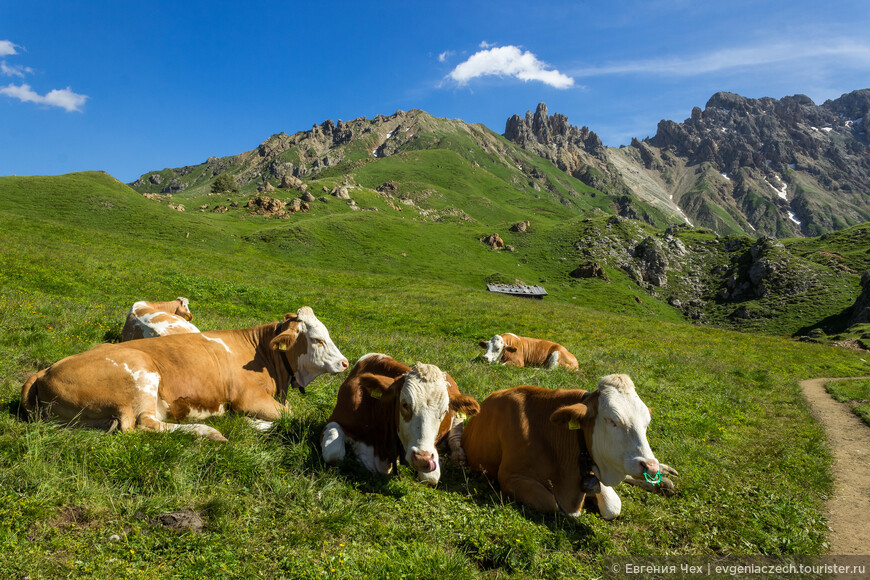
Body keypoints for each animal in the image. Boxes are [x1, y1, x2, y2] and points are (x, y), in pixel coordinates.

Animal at [21, 308, 348, 440]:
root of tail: (45, 369)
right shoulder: (249, 398)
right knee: (143, 425)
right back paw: (209, 431)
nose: (345, 363)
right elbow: (291, 417)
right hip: (141, 376)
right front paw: (249, 424)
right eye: (317, 339)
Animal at [322, 354, 480, 484]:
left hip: (458, 420)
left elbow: (431, 477)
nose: (422, 458)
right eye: (405, 404)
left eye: (445, 411)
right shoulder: (336, 419)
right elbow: (333, 452)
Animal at [460, 376, 676, 520]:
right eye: (612, 420)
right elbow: (552, 504)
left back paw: (664, 476)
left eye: (646, 423)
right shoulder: (509, 477)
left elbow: (613, 506)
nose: (649, 466)